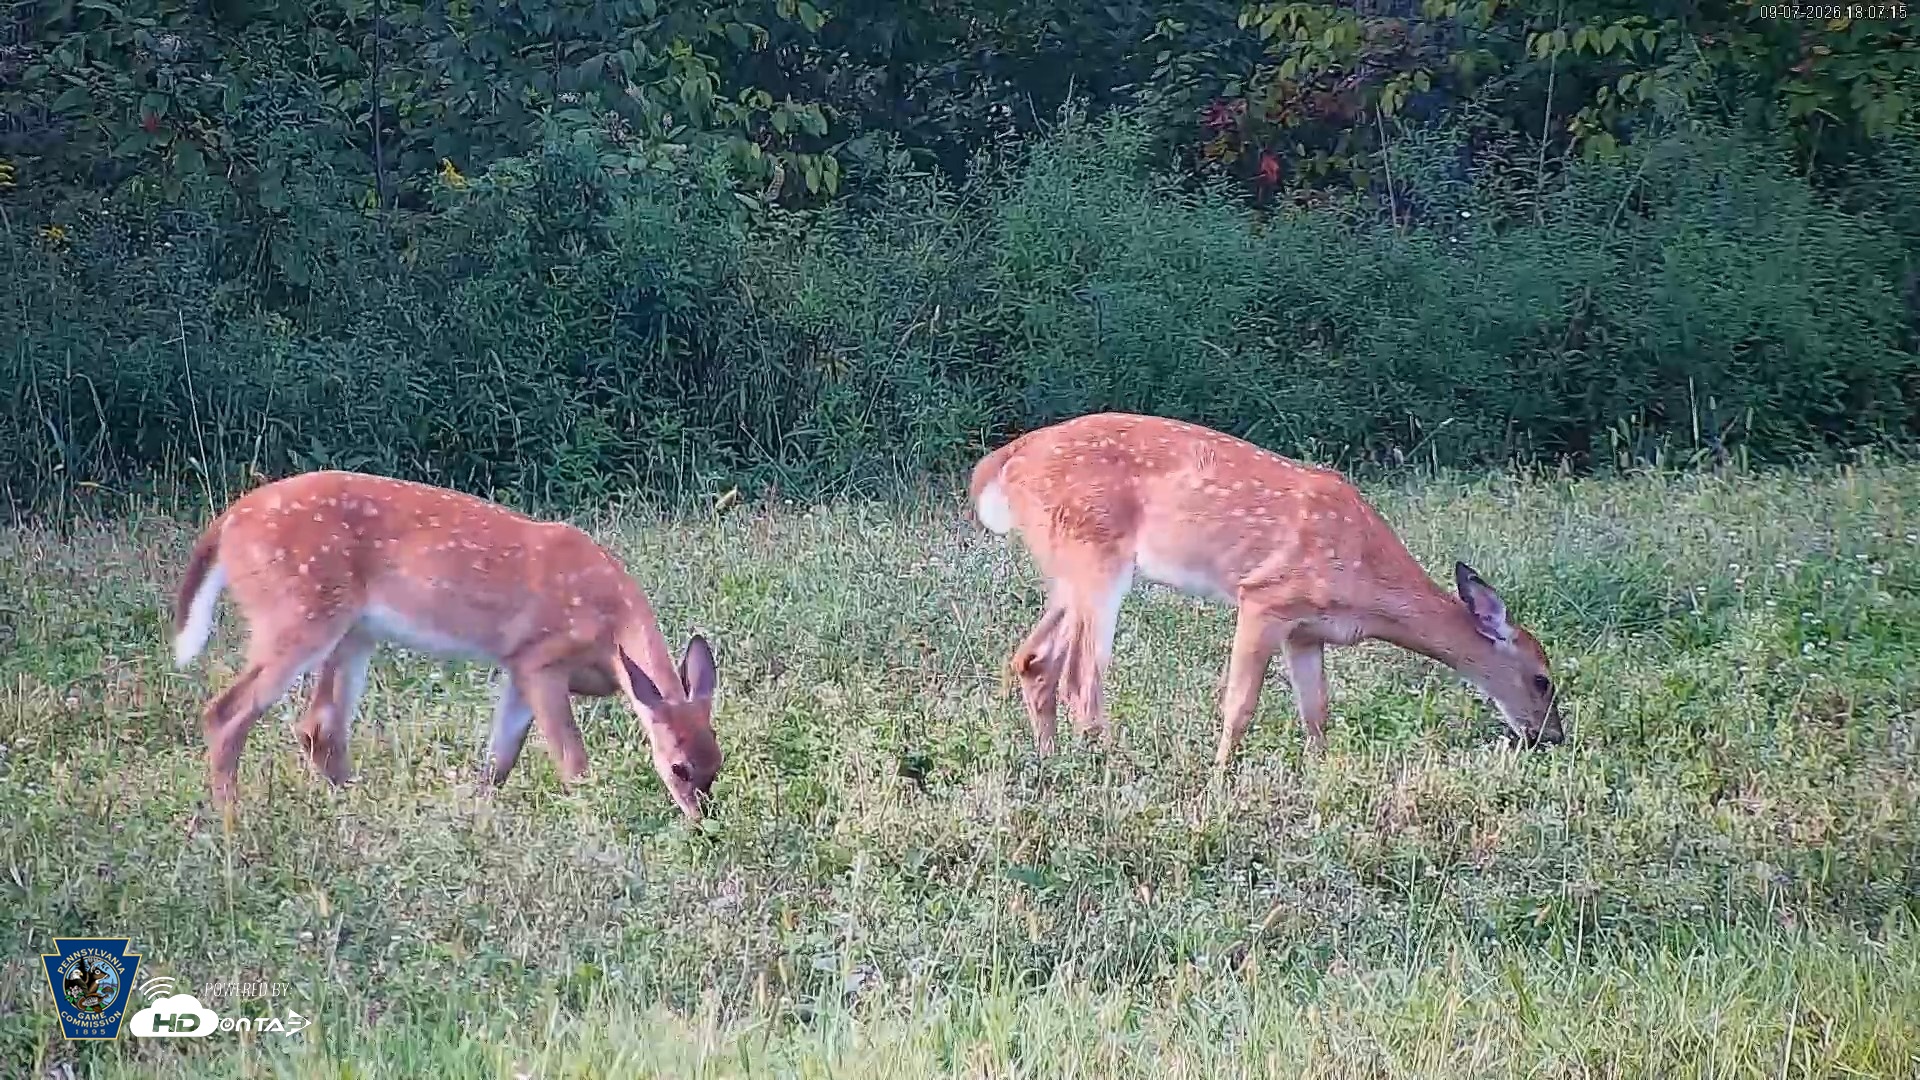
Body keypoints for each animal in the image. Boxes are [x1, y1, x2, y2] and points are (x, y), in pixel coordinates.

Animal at [169, 470, 722, 820]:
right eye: (679, 767)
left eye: (717, 762)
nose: (703, 821)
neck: (609, 627)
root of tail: (227, 523)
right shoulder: (540, 659)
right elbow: (572, 762)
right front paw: (591, 818)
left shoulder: (517, 667)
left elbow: (499, 760)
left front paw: (476, 814)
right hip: (296, 614)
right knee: (227, 712)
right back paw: (232, 820)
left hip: (352, 632)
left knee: (318, 727)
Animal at [966, 412, 1565, 764]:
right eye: (1541, 680)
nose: (1552, 736)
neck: (1366, 584)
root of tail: (999, 465)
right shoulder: (1265, 597)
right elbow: (1240, 705)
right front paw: (1219, 778)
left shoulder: (1308, 630)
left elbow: (1316, 709)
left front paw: (1322, 770)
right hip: (1096, 554)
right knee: (1082, 678)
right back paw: (1113, 769)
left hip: (1067, 566)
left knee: (1033, 659)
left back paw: (1051, 761)